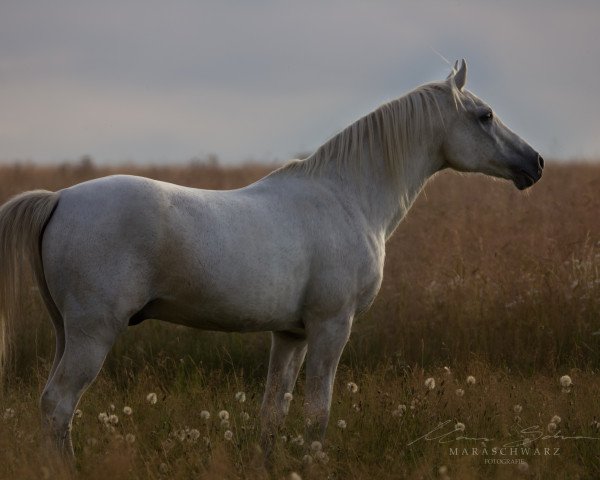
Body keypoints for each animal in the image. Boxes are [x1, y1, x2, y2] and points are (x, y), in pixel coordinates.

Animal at [0, 60, 544, 458]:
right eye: (485, 116)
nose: (534, 163)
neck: (348, 197)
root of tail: (60, 198)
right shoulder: (331, 326)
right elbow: (317, 414)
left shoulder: (291, 334)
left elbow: (272, 413)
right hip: (93, 332)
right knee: (58, 404)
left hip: (67, 331)